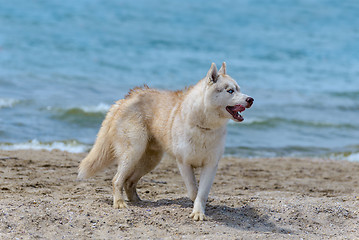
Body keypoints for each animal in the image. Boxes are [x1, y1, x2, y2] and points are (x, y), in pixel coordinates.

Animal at [79, 62, 253, 220]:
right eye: (230, 91)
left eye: (239, 89)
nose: (251, 99)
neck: (204, 127)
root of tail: (128, 97)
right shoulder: (183, 163)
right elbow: (193, 190)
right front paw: (197, 208)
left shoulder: (211, 165)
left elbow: (202, 193)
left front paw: (199, 211)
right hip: (133, 152)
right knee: (116, 180)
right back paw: (120, 203)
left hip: (150, 160)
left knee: (129, 182)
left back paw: (138, 201)